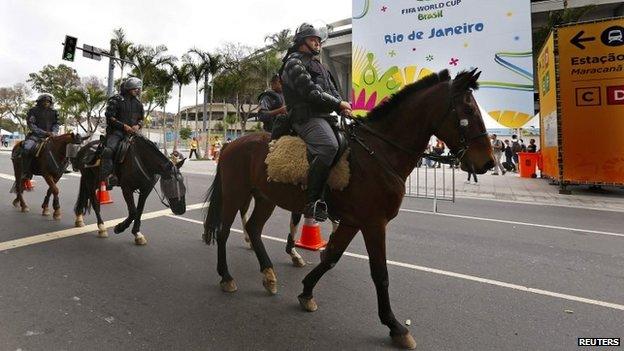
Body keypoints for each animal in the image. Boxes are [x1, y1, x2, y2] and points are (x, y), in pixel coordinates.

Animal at [202, 69, 494, 350]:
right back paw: (226, 277)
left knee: (253, 227)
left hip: (265, 197)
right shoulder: (374, 223)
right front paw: (395, 326)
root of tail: (231, 144)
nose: (488, 162)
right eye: (469, 110)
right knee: (224, 231)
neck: (379, 154)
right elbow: (380, 274)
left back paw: (269, 275)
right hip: (235, 193)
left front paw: (306, 292)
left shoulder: (354, 222)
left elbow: (331, 256)